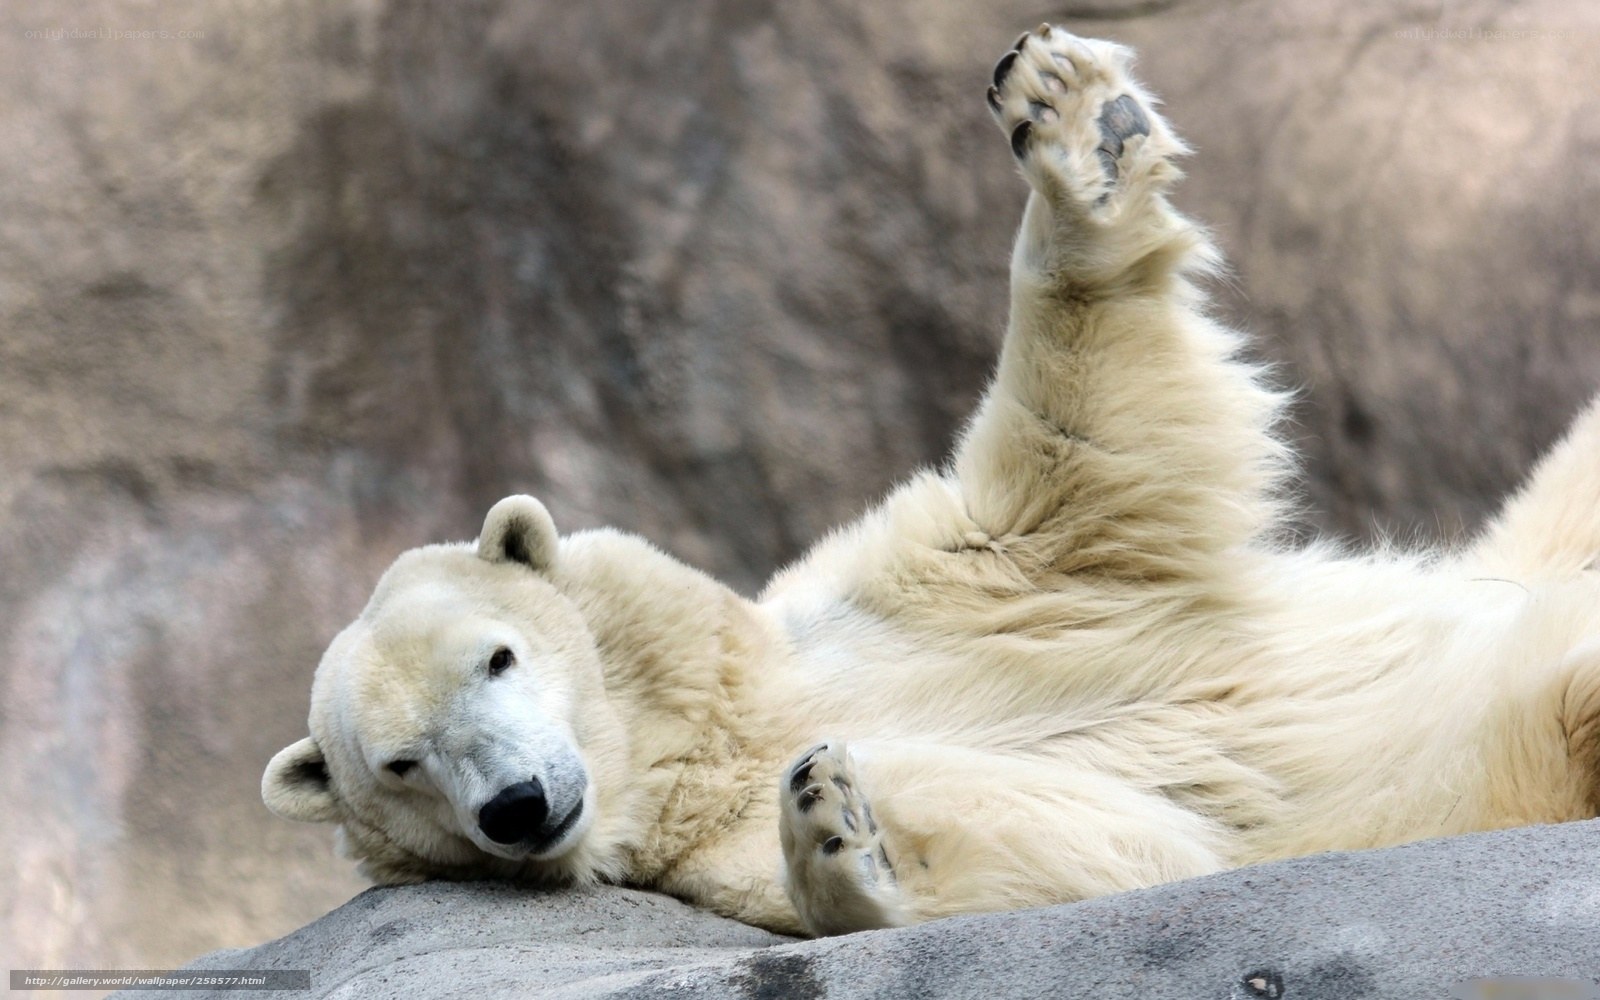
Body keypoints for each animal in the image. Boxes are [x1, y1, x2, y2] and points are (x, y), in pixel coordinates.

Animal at [263, 25, 1600, 938]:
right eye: (400, 763)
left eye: (497, 656)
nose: (519, 805)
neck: (707, 734)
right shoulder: (704, 859)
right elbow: (1106, 843)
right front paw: (842, 831)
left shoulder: (942, 581)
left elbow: (1075, 451)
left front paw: (1072, 125)